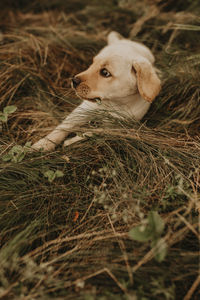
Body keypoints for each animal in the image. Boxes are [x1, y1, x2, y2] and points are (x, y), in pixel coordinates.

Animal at [32, 31, 161, 151]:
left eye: (105, 72)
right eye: (92, 63)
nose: (73, 81)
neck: (113, 102)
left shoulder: (118, 127)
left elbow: (95, 132)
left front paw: (72, 141)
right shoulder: (84, 109)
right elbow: (64, 126)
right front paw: (43, 144)